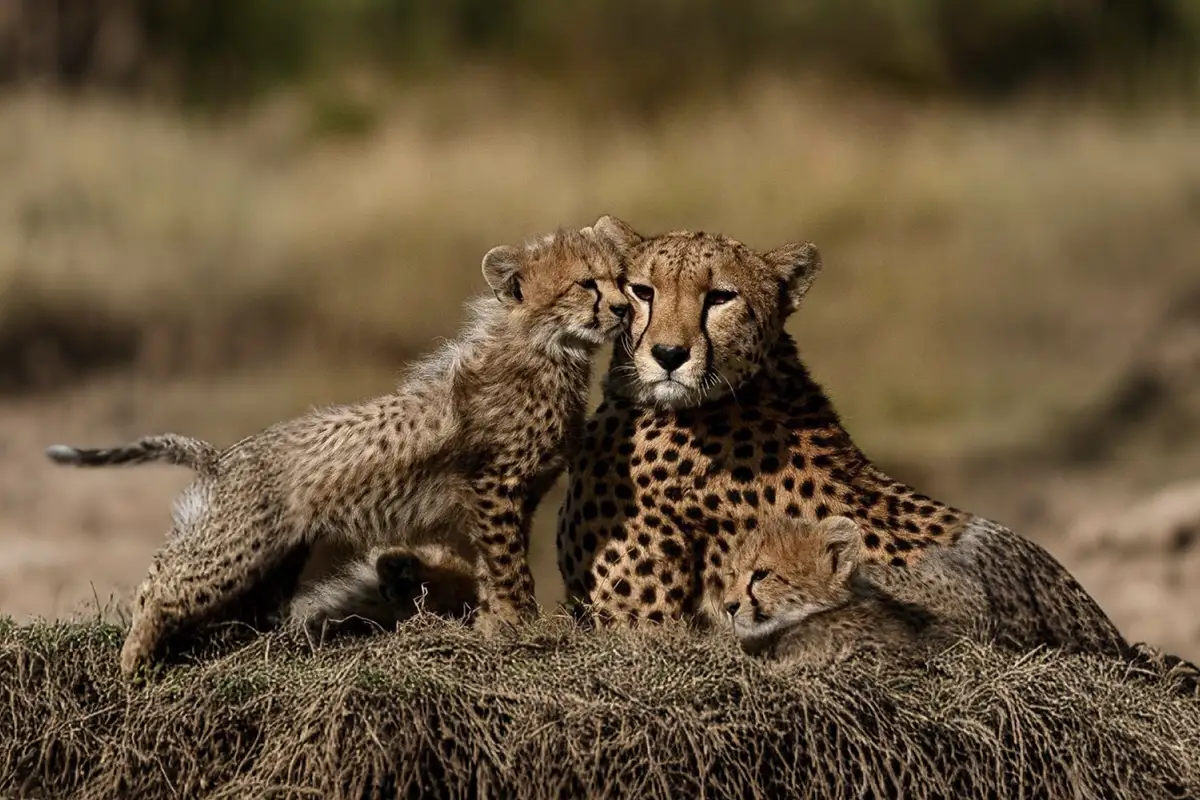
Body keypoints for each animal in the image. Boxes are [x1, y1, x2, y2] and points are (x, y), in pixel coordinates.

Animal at [47, 219, 632, 677]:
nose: (625, 309)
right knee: (166, 575)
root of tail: (225, 457)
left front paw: (492, 622)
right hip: (241, 545)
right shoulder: (494, 489)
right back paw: (134, 654)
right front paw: (519, 623)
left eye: (623, 280)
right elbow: (510, 567)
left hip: (275, 560)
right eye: (587, 284)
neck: (548, 350)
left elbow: (492, 568)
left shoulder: (514, 500)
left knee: (232, 599)